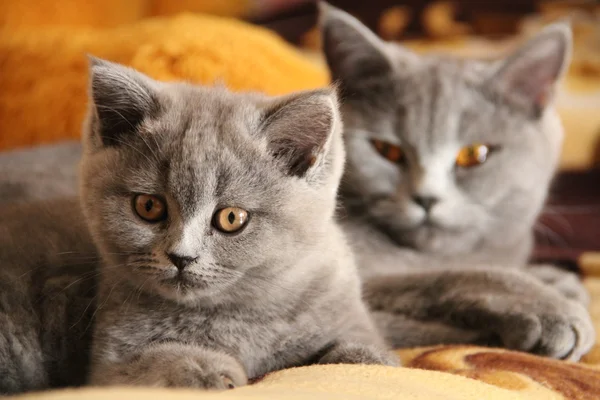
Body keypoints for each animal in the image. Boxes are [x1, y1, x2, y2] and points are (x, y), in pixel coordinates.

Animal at [0, 59, 396, 394]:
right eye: (149, 207)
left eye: (232, 218)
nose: (181, 256)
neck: (233, 314)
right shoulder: (109, 365)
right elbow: (152, 363)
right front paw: (207, 370)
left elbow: (365, 356)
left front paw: (363, 359)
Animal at [322, 3, 592, 360]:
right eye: (387, 150)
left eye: (475, 155)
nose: (426, 197)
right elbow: (458, 276)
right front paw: (553, 307)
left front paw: (556, 280)